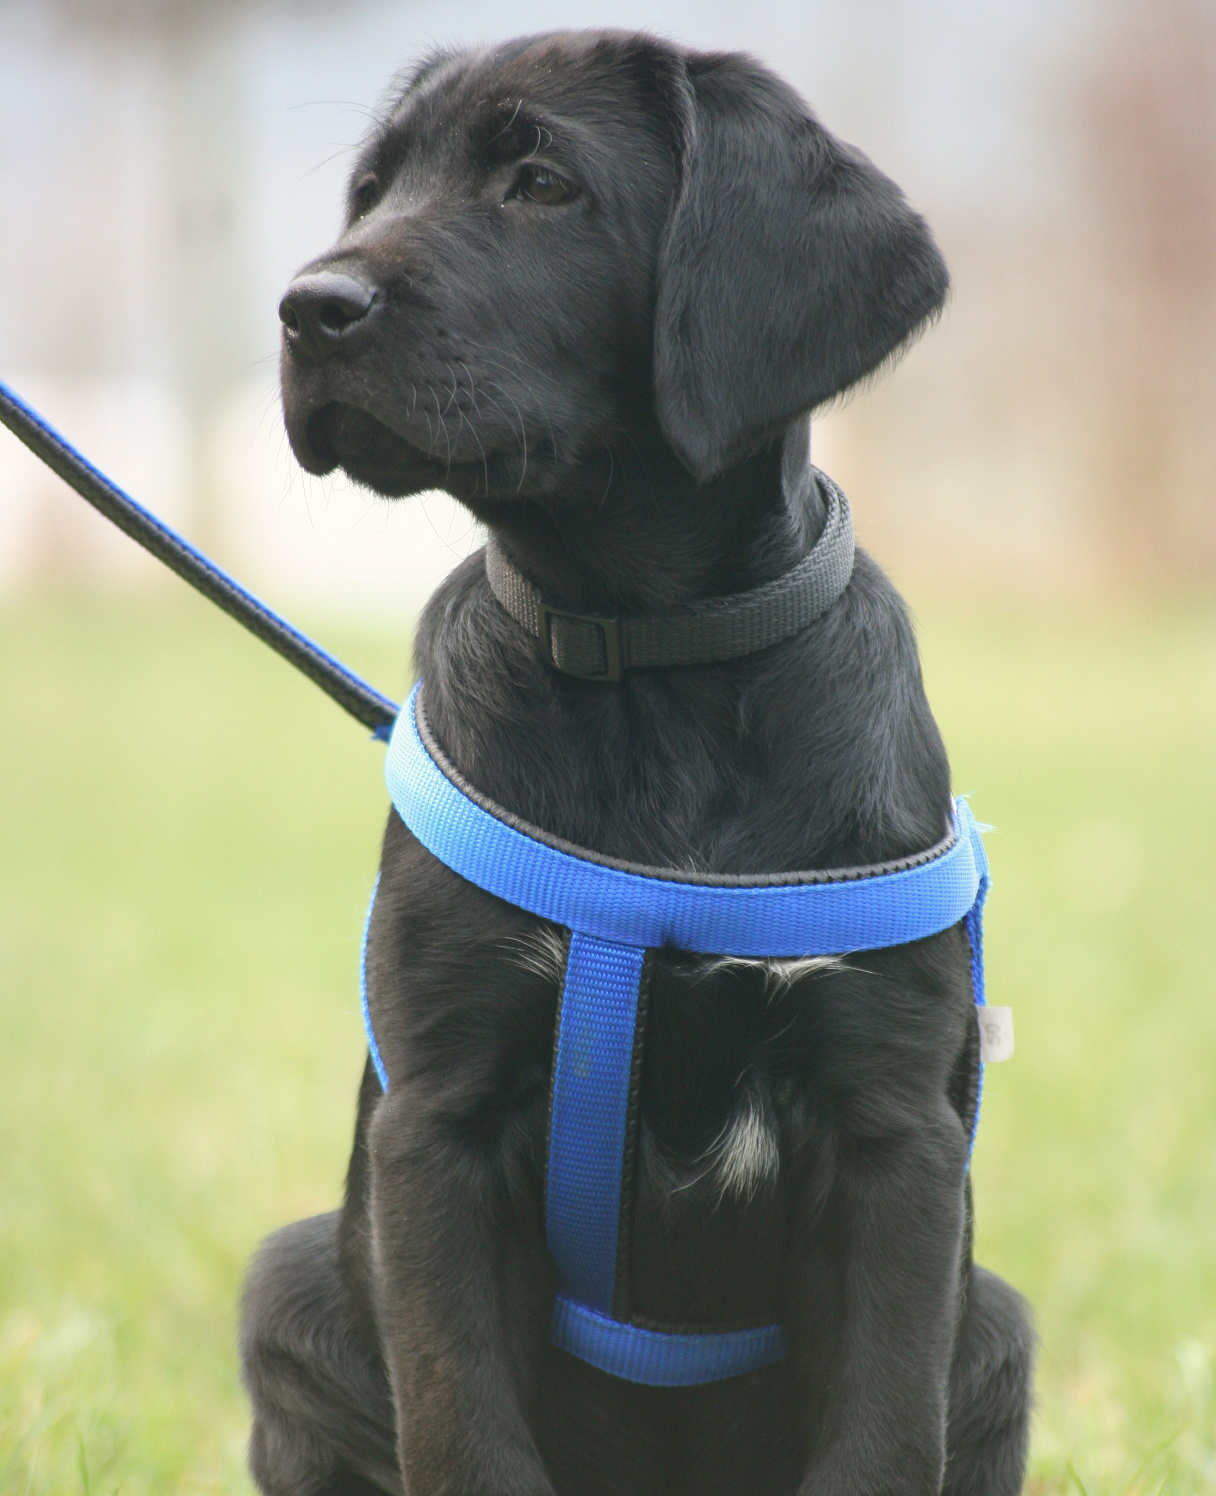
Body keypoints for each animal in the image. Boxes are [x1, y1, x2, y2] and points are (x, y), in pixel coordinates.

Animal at [243, 26, 1035, 1496]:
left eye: (542, 183)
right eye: (373, 191)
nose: (308, 306)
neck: (652, 661)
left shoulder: (895, 1138)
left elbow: (881, 1436)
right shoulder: (435, 1125)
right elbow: (470, 1438)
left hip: (996, 1326)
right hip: (290, 1287)